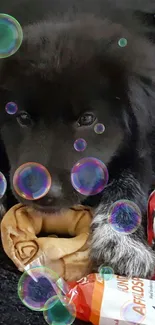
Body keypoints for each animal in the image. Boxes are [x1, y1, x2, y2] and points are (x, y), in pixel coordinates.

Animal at [0, 0, 155, 278]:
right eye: (22, 116)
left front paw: (122, 243)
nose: (43, 194)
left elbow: (130, 184)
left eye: (87, 119)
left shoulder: (139, 145)